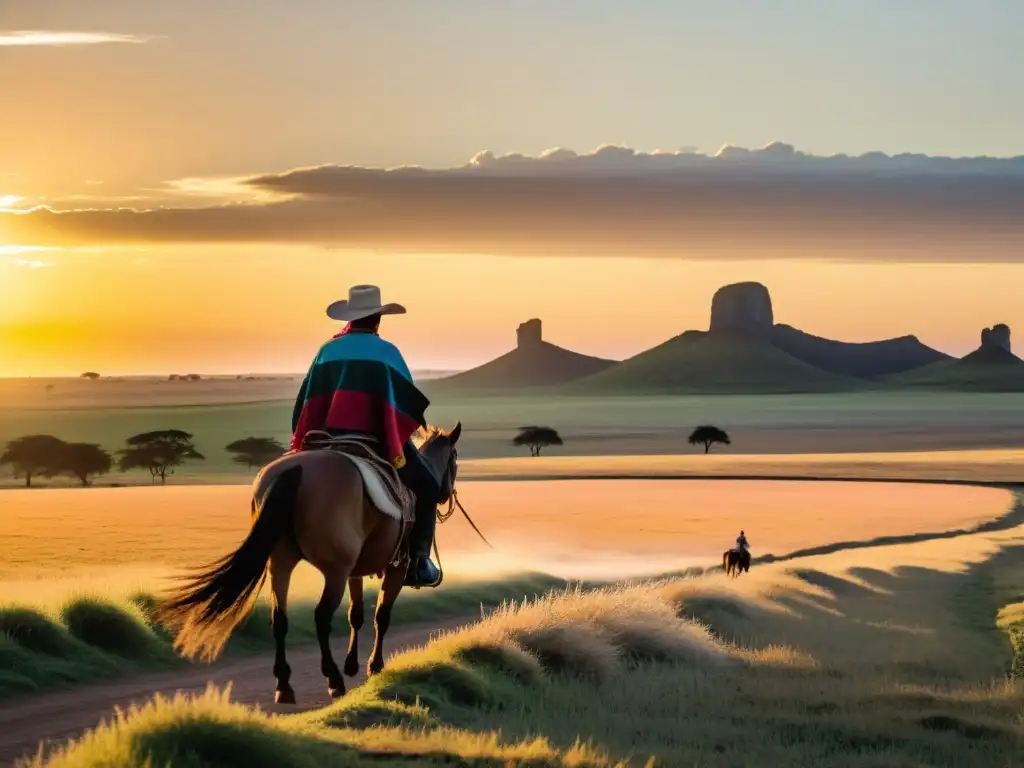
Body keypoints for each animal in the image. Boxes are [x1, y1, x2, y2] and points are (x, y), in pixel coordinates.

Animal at [153, 423, 462, 708]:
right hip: (334, 571)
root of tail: (296, 468)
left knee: (279, 617)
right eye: (455, 459)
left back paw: (284, 685)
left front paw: (353, 664)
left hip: (281, 563)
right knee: (321, 616)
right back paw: (333, 679)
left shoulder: (355, 571)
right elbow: (381, 616)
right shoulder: (396, 567)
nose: (447, 497)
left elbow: (356, 614)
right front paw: (374, 666)